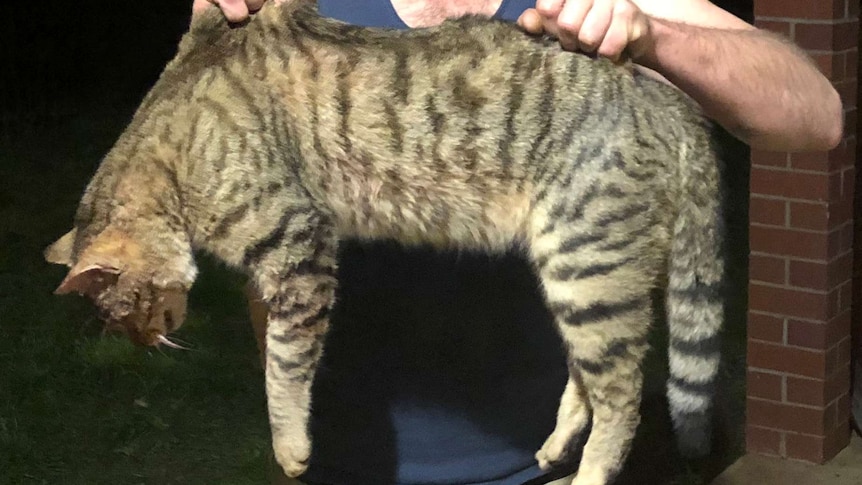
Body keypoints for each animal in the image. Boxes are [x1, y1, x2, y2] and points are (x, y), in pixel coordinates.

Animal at [44, 1, 724, 482]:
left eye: (128, 311)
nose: (150, 343)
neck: (167, 151)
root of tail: (667, 97)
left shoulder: (301, 249)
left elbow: (284, 371)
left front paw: (289, 447)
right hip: (577, 279)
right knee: (589, 379)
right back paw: (557, 447)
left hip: (588, 268)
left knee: (623, 395)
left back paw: (588, 472)